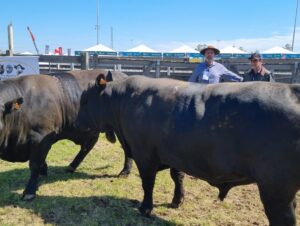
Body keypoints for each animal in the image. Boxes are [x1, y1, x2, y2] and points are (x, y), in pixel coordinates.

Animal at [0, 70, 132, 200]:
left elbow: (35, 164)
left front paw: (29, 191)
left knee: (126, 148)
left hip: (120, 129)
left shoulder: (41, 139)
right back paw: (71, 166)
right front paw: (44, 171)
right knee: (88, 145)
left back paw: (125, 171)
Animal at [77, 74, 300, 226]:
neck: (124, 100)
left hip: (276, 189)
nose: (77, 122)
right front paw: (177, 200)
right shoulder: (176, 154)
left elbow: (147, 183)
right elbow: (178, 177)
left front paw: (146, 208)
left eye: (85, 101)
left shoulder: (144, 154)